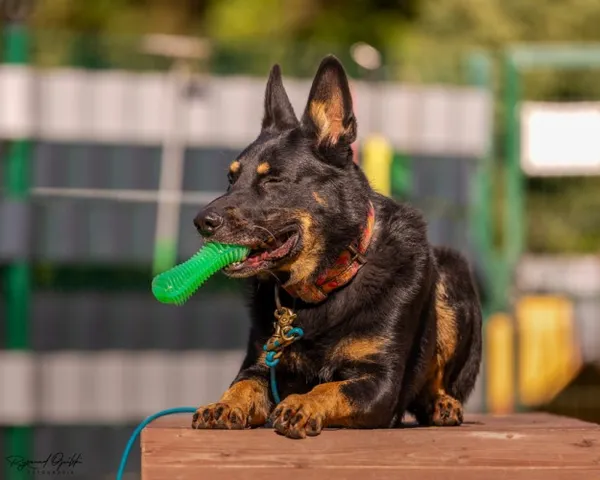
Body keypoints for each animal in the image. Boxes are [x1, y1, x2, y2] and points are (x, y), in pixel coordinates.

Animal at [191, 54, 482, 436]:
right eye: (231, 177)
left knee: (436, 385)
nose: (201, 222)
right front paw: (224, 404)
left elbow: (329, 388)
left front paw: (301, 404)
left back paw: (441, 402)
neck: (327, 283)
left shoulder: (379, 382)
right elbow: (243, 384)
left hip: (450, 277)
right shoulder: (262, 363)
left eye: (273, 180)